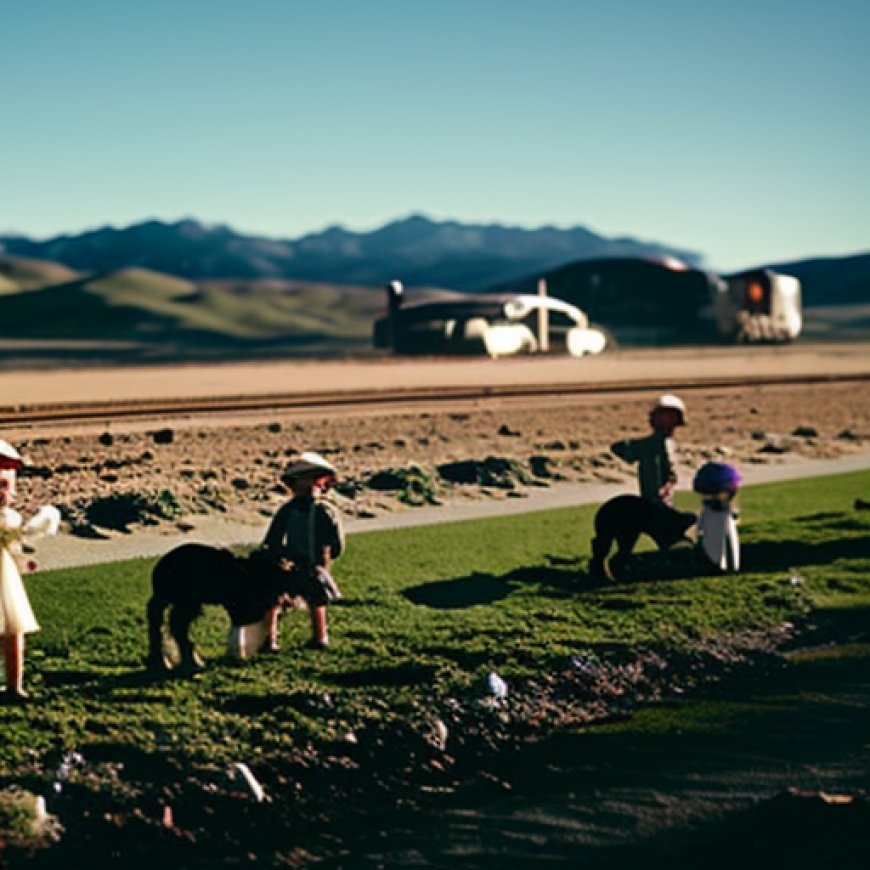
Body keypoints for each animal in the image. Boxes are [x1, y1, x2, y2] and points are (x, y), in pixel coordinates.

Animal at [145, 544, 326, 676]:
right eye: (306, 577)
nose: (322, 595)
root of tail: (160, 570)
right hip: (186, 604)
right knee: (173, 625)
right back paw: (184, 662)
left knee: (163, 621)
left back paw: (163, 661)